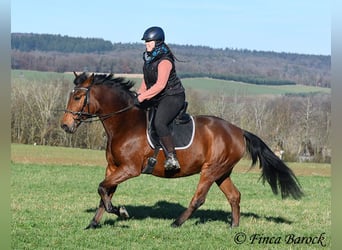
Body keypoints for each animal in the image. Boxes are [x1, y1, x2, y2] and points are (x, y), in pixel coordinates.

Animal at [60, 71, 304, 229]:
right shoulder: (113, 168)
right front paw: (93, 223)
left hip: (210, 171)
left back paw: (177, 222)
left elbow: (102, 188)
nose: (65, 125)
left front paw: (121, 212)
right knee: (234, 196)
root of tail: (238, 131)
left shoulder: (129, 169)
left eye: (78, 96)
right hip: (221, 172)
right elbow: (104, 193)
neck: (124, 123)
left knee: (199, 198)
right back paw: (233, 226)